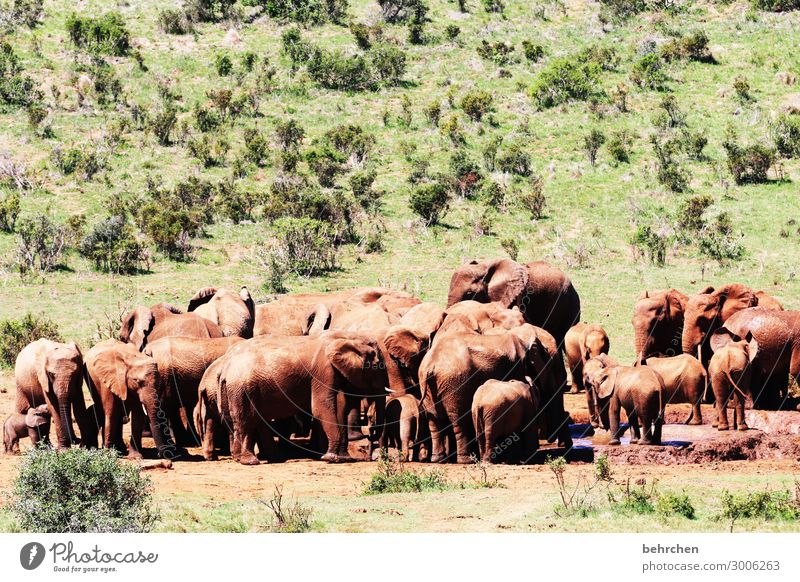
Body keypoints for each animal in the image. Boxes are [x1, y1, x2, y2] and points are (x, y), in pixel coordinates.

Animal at [219, 334, 400, 466]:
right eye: (377, 366)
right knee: (246, 420)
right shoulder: (323, 372)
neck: (347, 338)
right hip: (242, 388)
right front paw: (331, 458)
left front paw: (341, 458)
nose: (373, 458)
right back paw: (251, 461)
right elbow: (321, 408)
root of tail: (226, 369)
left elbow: (340, 406)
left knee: (253, 420)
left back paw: (269, 458)